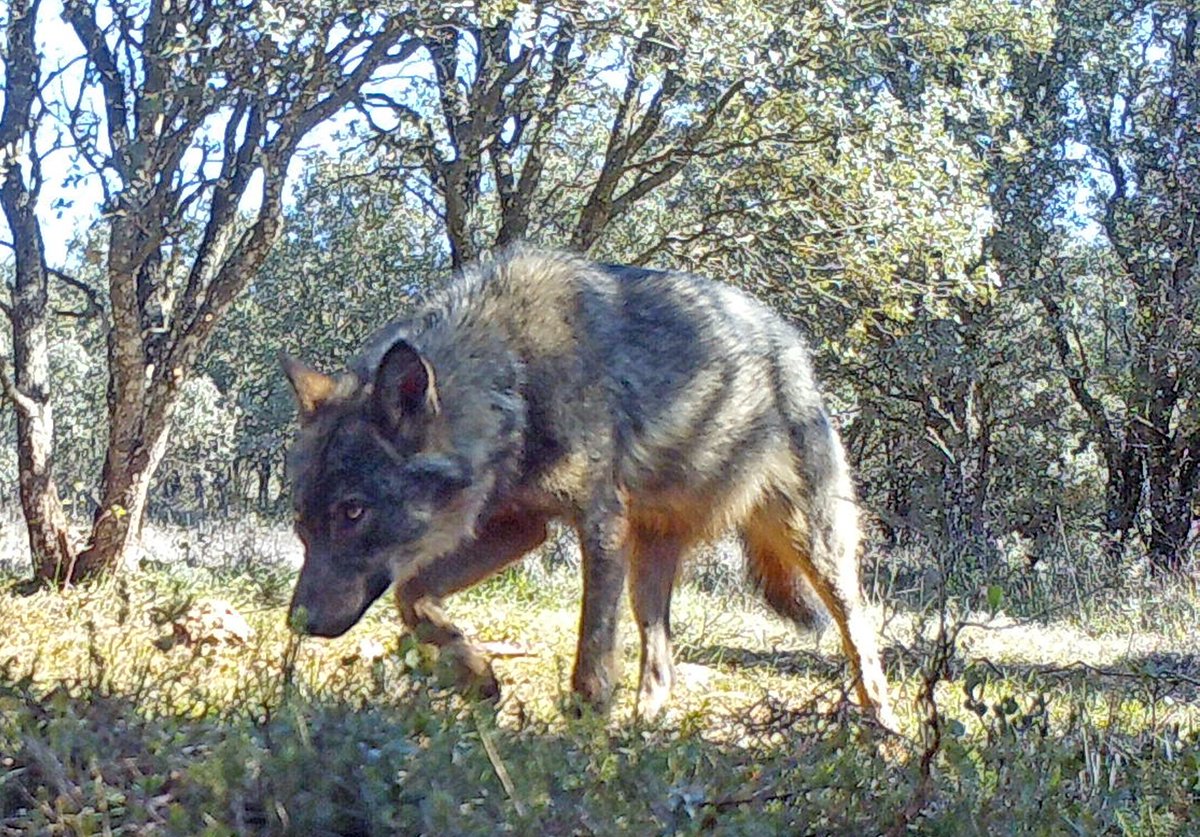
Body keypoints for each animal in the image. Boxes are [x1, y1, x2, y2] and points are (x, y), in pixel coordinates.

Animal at [282, 247, 896, 729]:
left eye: (354, 512)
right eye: (301, 522)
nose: (298, 623)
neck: (516, 378)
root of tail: (791, 344)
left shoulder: (599, 525)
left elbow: (593, 648)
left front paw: (581, 723)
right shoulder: (521, 526)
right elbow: (411, 597)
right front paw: (475, 673)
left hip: (815, 549)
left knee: (860, 635)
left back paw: (883, 731)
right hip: (648, 572)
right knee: (661, 662)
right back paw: (643, 730)